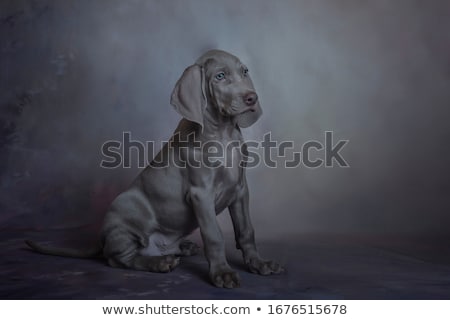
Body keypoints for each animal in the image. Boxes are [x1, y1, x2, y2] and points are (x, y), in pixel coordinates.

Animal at [25, 49, 282, 288]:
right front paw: (222, 273)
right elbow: (214, 236)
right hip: (124, 211)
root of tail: (101, 239)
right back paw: (159, 263)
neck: (223, 133)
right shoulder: (201, 194)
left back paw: (181, 248)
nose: (252, 98)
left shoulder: (239, 189)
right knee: (119, 259)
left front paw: (259, 264)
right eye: (220, 76)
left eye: (244, 71)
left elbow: (246, 230)